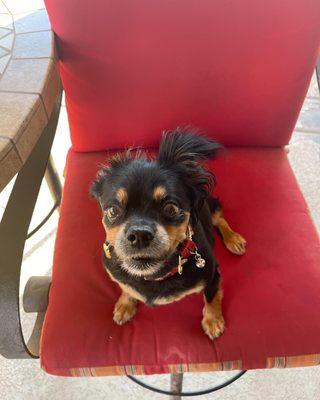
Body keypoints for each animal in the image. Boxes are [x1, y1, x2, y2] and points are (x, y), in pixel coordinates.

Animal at [90, 126, 245, 340]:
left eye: (170, 208)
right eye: (112, 211)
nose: (139, 235)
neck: (155, 276)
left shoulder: (213, 274)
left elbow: (212, 297)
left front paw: (213, 321)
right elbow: (126, 287)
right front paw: (125, 304)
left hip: (209, 206)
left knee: (220, 219)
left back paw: (234, 240)